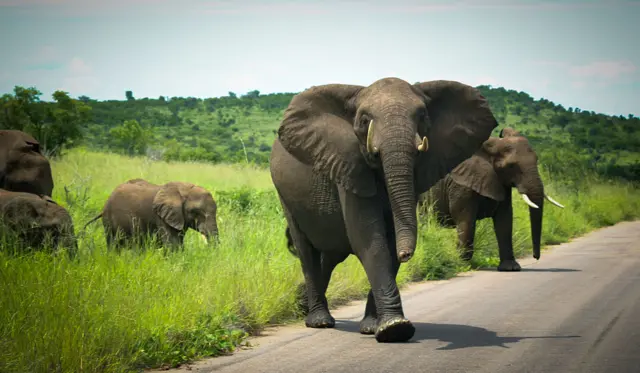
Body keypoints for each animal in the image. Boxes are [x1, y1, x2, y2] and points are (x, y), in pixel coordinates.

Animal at [270, 77, 500, 342]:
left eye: (422, 115)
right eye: (364, 120)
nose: (406, 254)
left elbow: (388, 242)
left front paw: (376, 326)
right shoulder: (348, 164)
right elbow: (369, 239)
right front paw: (395, 328)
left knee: (330, 254)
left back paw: (304, 306)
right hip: (284, 195)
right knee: (306, 252)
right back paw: (319, 321)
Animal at [420, 128, 564, 270]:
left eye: (536, 159)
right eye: (511, 166)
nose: (536, 257)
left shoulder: (502, 183)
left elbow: (504, 219)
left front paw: (510, 268)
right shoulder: (460, 185)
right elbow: (465, 219)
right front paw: (461, 264)